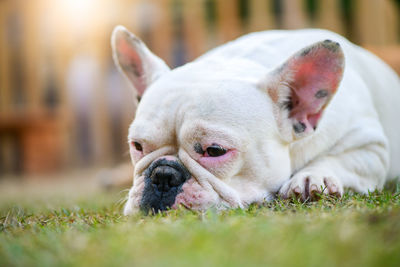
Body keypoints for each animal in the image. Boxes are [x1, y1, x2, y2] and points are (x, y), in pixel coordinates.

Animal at [111, 26, 400, 216]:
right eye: (137, 146)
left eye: (214, 151)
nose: (163, 175)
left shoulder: (370, 146)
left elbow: (340, 159)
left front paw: (312, 176)